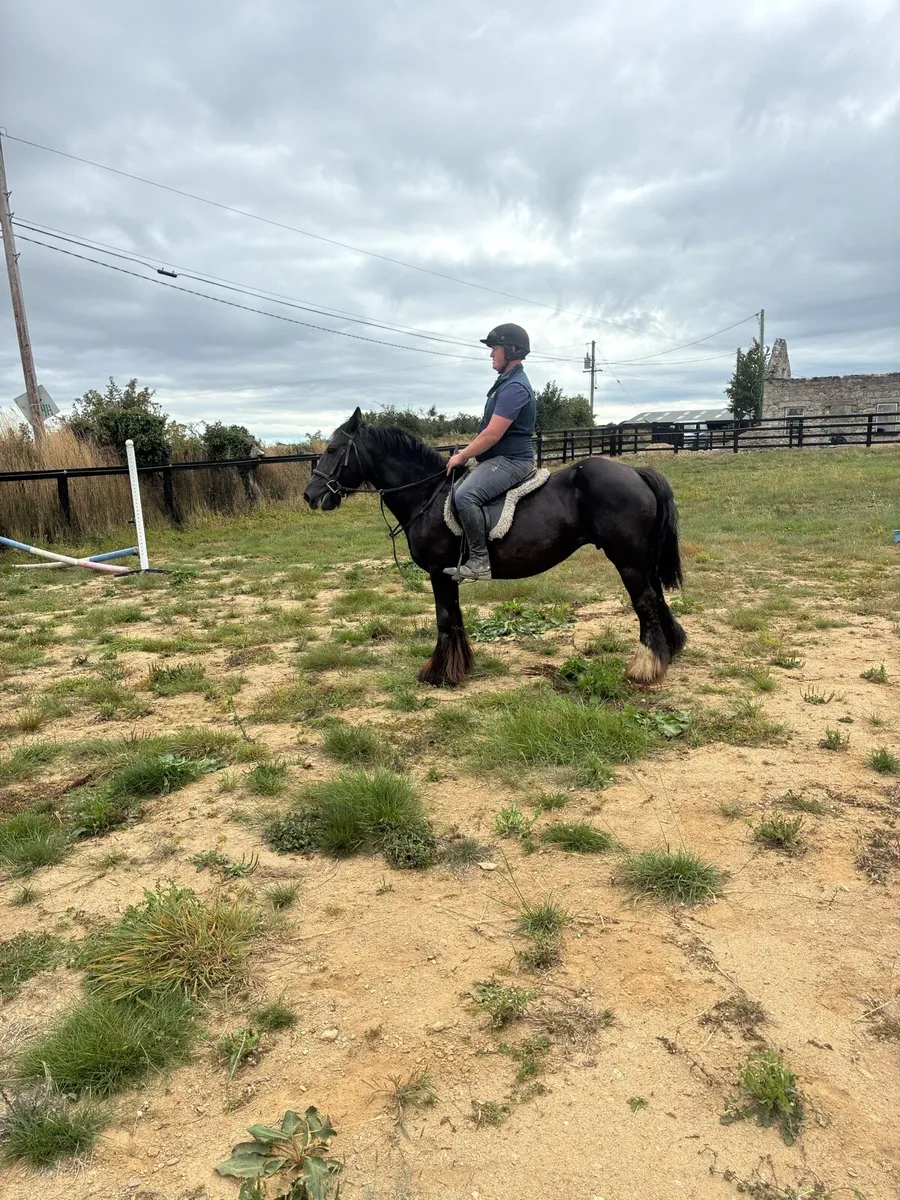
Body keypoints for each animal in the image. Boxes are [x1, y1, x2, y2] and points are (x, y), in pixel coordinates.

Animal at [303, 408, 686, 688]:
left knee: (645, 602)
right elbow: (455, 617)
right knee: (657, 597)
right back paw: (670, 649)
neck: (427, 494)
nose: (310, 495)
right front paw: (458, 667)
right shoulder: (448, 574)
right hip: (643, 559)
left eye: (334, 450)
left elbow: (444, 619)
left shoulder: (438, 572)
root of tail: (637, 472)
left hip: (628, 560)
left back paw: (645, 666)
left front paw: (439, 674)